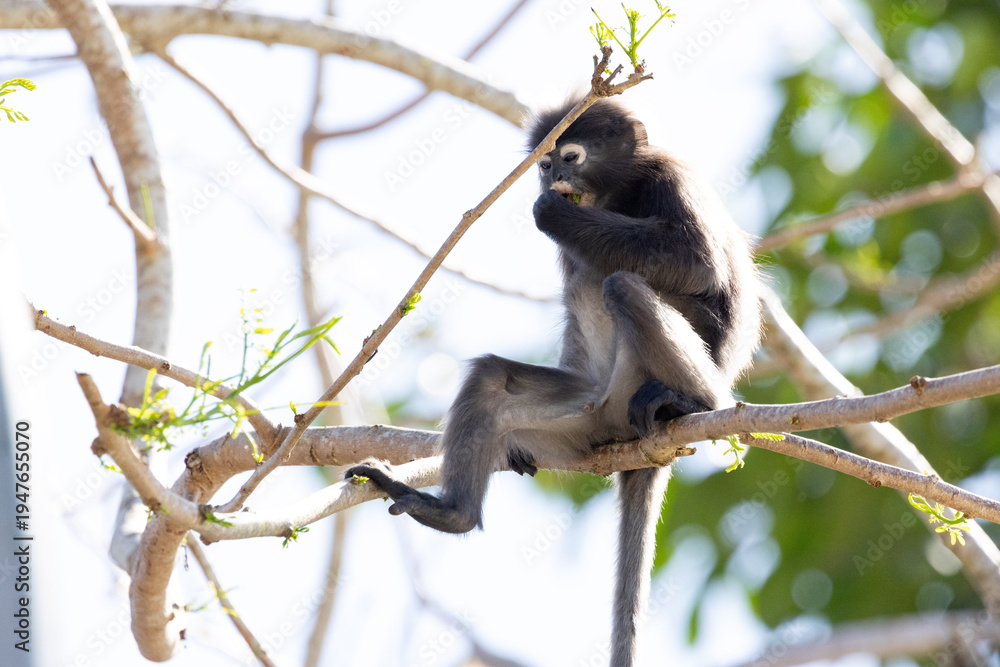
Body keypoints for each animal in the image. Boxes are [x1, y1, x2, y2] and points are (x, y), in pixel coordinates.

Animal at [346, 98, 761, 666]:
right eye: (545, 164)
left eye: (571, 157)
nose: (554, 179)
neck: (616, 194)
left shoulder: (671, 177)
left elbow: (696, 265)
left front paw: (555, 213)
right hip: (586, 419)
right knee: (492, 379)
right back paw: (452, 513)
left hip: (639, 384)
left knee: (623, 284)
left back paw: (691, 401)